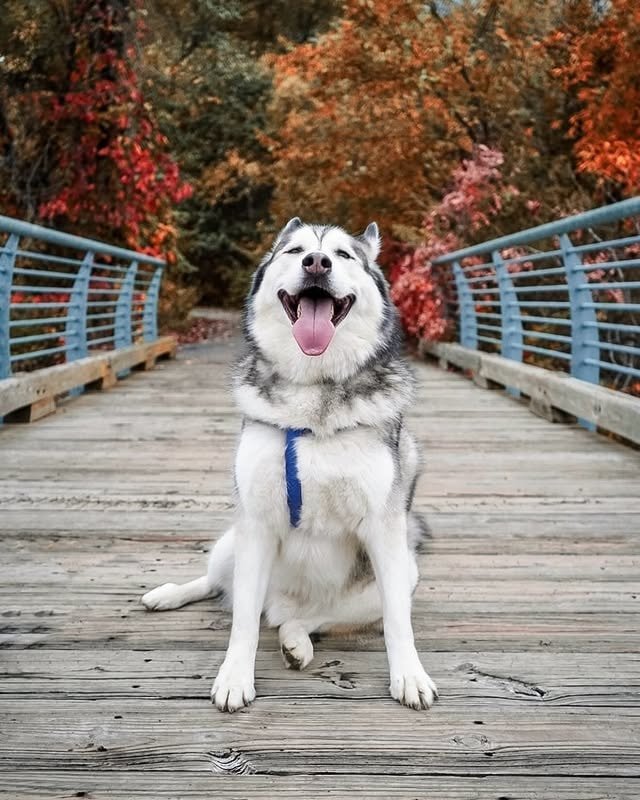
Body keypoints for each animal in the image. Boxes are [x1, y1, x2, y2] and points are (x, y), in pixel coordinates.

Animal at [142, 217, 438, 712]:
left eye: (342, 254)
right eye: (295, 250)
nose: (316, 262)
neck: (312, 388)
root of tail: (282, 604)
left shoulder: (384, 530)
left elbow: (399, 622)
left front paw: (409, 676)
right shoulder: (256, 524)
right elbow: (242, 620)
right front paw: (234, 677)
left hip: (398, 574)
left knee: (311, 618)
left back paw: (296, 640)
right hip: (232, 543)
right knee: (220, 586)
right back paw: (169, 595)